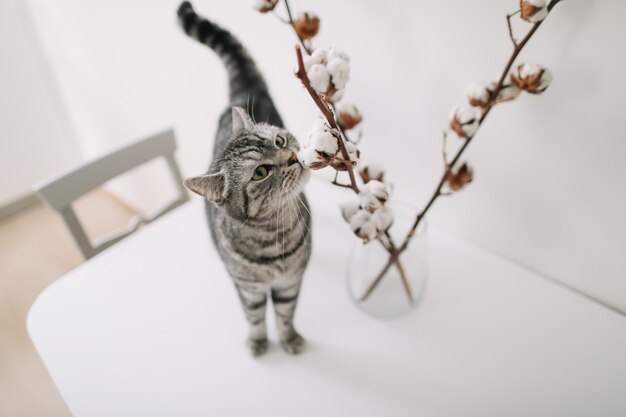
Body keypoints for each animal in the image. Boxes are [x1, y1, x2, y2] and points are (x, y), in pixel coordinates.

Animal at [176, 1, 312, 356]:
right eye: (260, 172)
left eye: (279, 140)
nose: (292, 157)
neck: (273, 238)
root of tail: (239, 97)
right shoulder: (247, 288)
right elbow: (255, 317)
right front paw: (259, 341)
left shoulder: (290, 281)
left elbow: (286, 313)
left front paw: (289, 338)